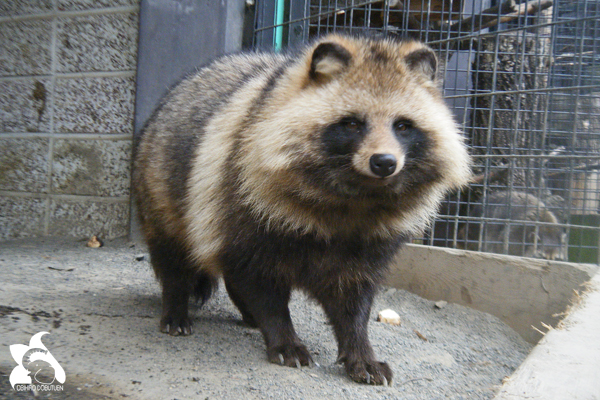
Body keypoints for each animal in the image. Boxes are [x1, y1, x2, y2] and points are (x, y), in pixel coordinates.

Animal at [134, 34, 472, 384]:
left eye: (403, 126)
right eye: (353, 123)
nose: (384, 162)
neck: (353, 199)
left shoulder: (370, 243)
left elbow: (353, 300)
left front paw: (360, 349)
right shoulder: (244, 208)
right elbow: (261, 286)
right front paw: (283, 337)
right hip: (163, 195)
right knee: (173, 257)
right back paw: (176, 306)